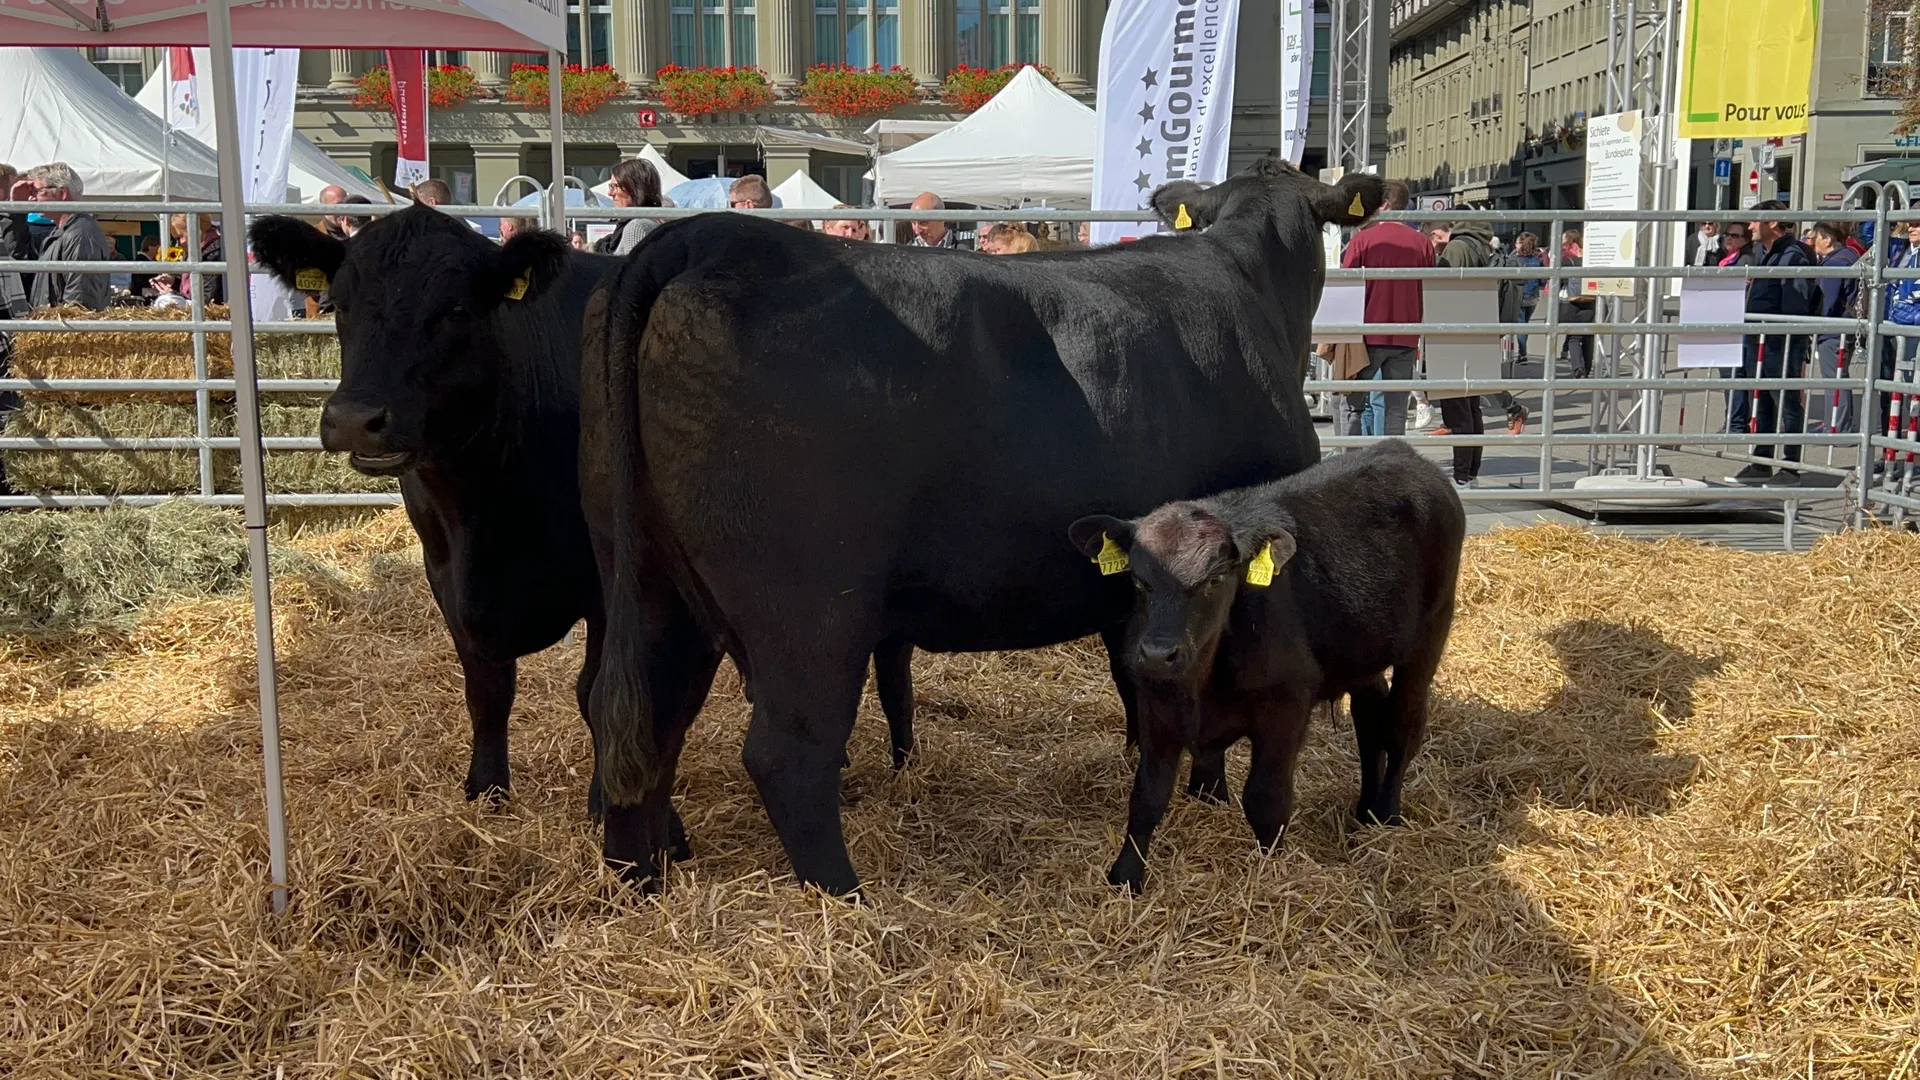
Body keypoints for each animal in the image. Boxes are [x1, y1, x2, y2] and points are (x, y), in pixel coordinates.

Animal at [246, 207, 924, 849]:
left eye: (456, 308)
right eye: (340, 304)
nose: (354, 419)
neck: (482, 510)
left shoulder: (609, 583)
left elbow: (598, 691)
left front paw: (607, 803)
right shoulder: (446, 578)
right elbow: (487, 692)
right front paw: (486, 793)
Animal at [578, 151, 1387, 892]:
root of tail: (706, 239)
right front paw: (1209, 793)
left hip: (646, 575)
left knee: (645, 716)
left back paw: (641, 876)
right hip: (809, 607)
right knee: (787, 752)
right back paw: (846, 898)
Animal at [1067, 438, 1466, 892]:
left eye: (1215, 579)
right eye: (1137, 579)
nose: (1157, 652)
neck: (1199, 684)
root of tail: (1401, 451)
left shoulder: (1285, 707)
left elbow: (1265, 799)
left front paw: (1271, 870)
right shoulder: (1154, 706)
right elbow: (1147, 797)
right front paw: (1125, 876)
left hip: (1427, 638)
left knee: (1402, 728)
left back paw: (1388, 814)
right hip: (1362, 654)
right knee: (1370, 722)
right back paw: (1365, 812)